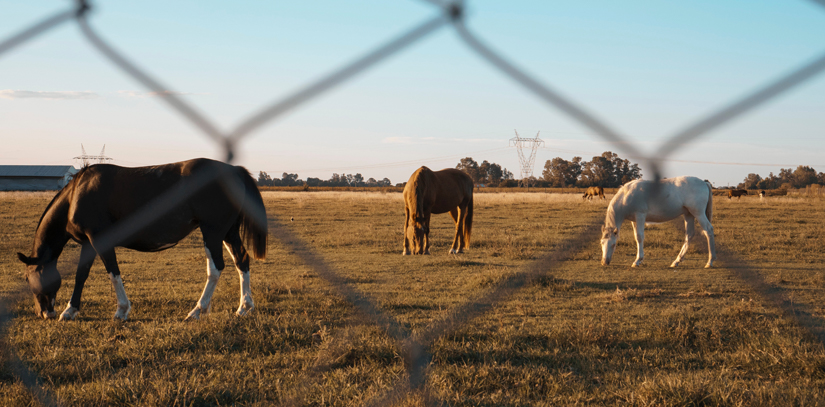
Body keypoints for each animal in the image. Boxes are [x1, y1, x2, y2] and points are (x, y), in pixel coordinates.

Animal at [15, 159, 268, 322]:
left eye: (27, 278)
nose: (43, 313)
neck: (76, 194)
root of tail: (234, 170)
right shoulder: (88, 243)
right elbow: (81, 275)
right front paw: (70, 310)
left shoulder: (99, 239)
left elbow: (113, 273)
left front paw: (121, 311)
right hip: (227, 233)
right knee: (242, 262)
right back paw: (244, 307)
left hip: (213, 232)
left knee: (216, 269)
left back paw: (197, 310)